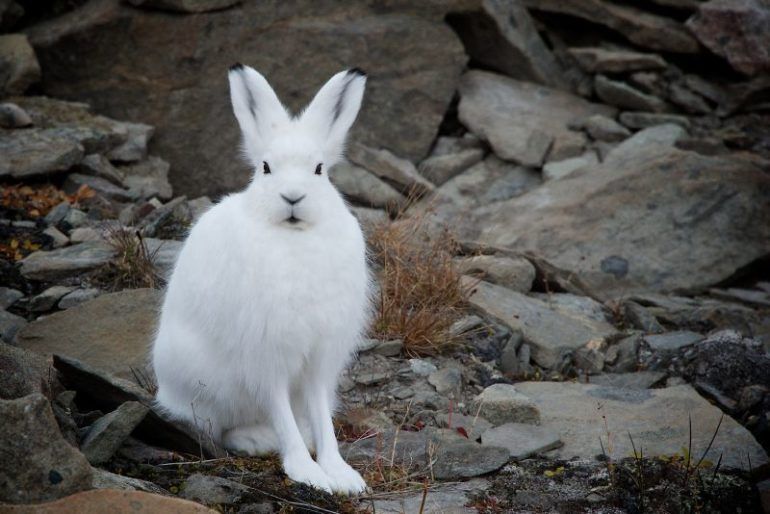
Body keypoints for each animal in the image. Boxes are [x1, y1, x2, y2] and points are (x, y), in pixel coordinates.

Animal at [152, 64, 371, 495]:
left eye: (319, 169)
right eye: (266, 168)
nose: (293, 196)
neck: (294, 237)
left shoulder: (319, 358)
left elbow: (321, 414)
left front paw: (342, 475)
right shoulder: (265, 355)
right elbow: (278, 408)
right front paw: (307, 473)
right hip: (201, 382)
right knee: (219, 427)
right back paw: (255, 440)